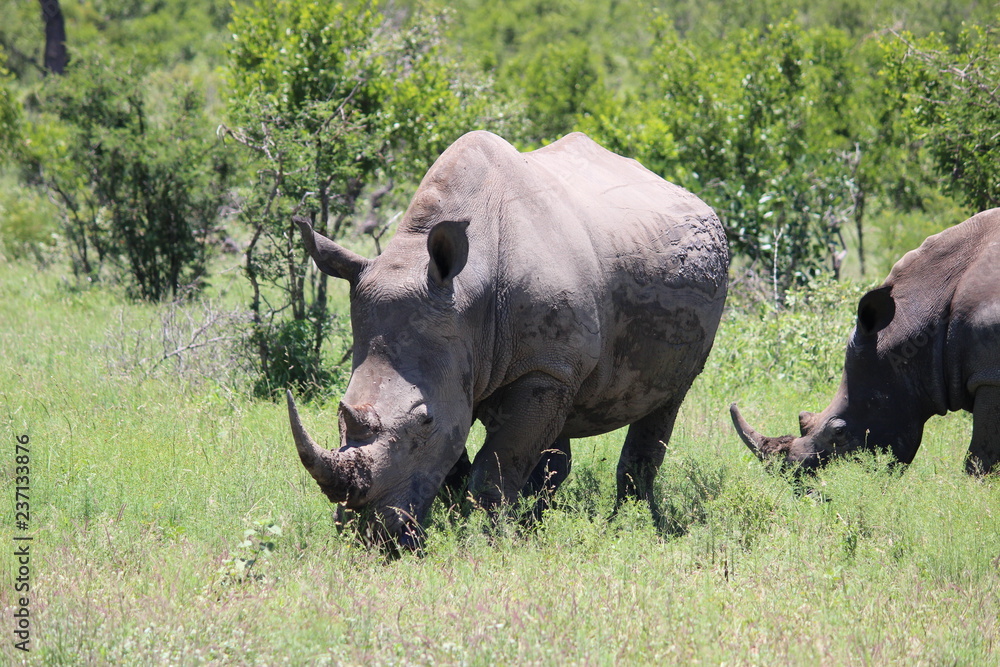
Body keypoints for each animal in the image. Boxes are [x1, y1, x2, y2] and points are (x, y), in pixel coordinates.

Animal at [287, 131, 729, 547]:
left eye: (424, 421)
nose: (366, 535)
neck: (468, 292)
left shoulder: (541, 370)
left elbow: (497, 463)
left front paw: (485, 536)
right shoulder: (479, 361)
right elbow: (457, 456)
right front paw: (455, 521)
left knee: (669, 397)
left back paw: (629, 525)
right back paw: (539, 521)